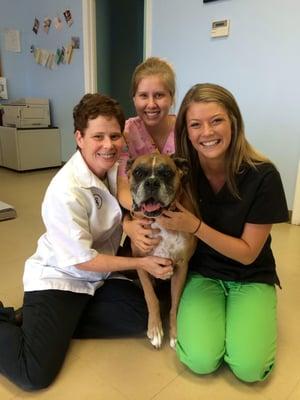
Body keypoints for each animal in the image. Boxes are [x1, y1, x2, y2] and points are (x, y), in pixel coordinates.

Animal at [125, 155, 196, 348]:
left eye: (167, 173)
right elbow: (151, 297)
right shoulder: (142, 263)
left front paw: (174, 333)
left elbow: (175, 304)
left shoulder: (181, 267)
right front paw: (155, 329)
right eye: (138, 172)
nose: (151, 182)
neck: (160, 220)